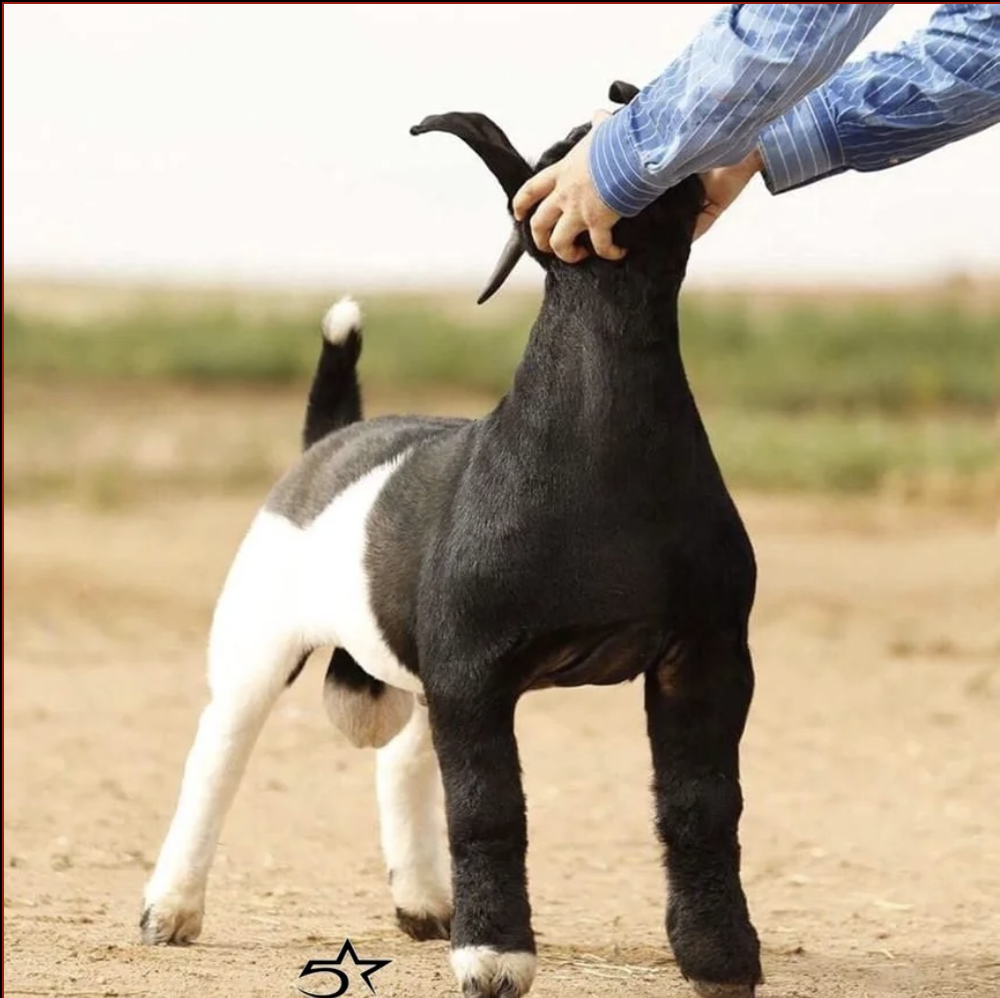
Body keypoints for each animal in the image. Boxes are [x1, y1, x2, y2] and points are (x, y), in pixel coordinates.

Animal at [139, 81, 763, 998]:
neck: (605, 438)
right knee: (216, 759)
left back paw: (425, 901)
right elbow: (489, 809)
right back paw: (172, 906)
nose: (631, 98)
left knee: (399, 759)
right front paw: (495, 954)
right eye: (562, 151)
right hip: (257, 652)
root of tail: (331, 437)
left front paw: (719, 954)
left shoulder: (702, 662)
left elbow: (702, 807)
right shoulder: (477, 674)